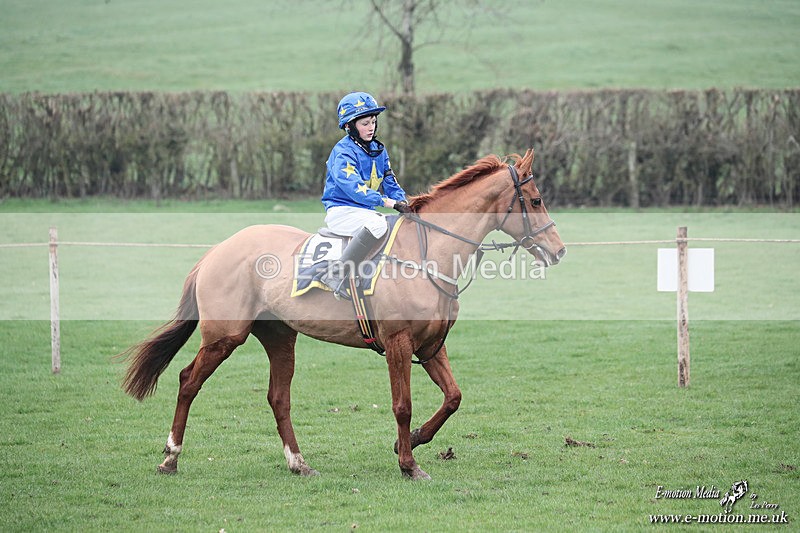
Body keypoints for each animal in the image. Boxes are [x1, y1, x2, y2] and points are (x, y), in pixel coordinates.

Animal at [121, 149, 566, 480]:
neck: (426, 254)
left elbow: (453, 398)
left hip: (280, 336)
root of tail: (218, 249)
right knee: (188, 381)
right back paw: (170, 457)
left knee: (278, 397)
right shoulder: (399, 344)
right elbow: (401, 405)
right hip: (224, 336)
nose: (559, 250)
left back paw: (299, 463)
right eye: (537, 200)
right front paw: (408, 464)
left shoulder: (431, 345)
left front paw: (413, 439)